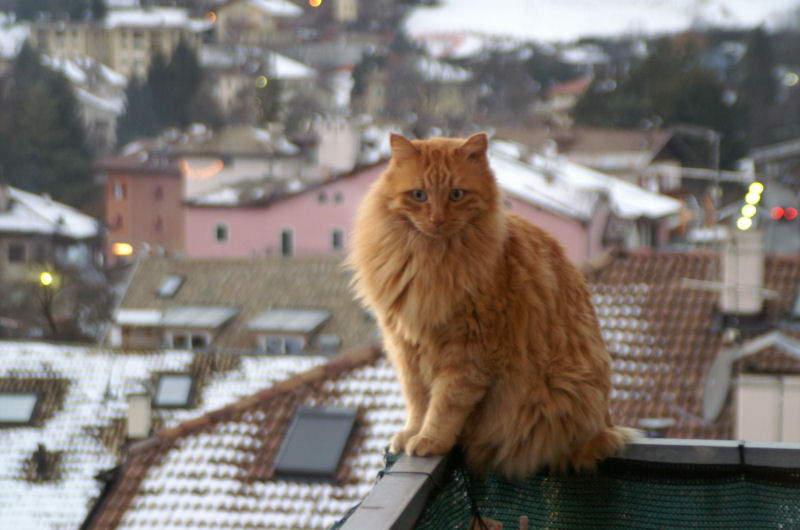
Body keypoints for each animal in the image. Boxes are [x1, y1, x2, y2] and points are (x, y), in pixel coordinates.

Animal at [348, 132, 638, 479]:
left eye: (456, 195)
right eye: (418, 195)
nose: (437, 220)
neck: (431, 261)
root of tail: (605, 426)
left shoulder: (468, 353)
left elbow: (444, 405)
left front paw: (430, 439)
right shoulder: (406, 348)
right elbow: (417, 401)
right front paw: (411, 433)